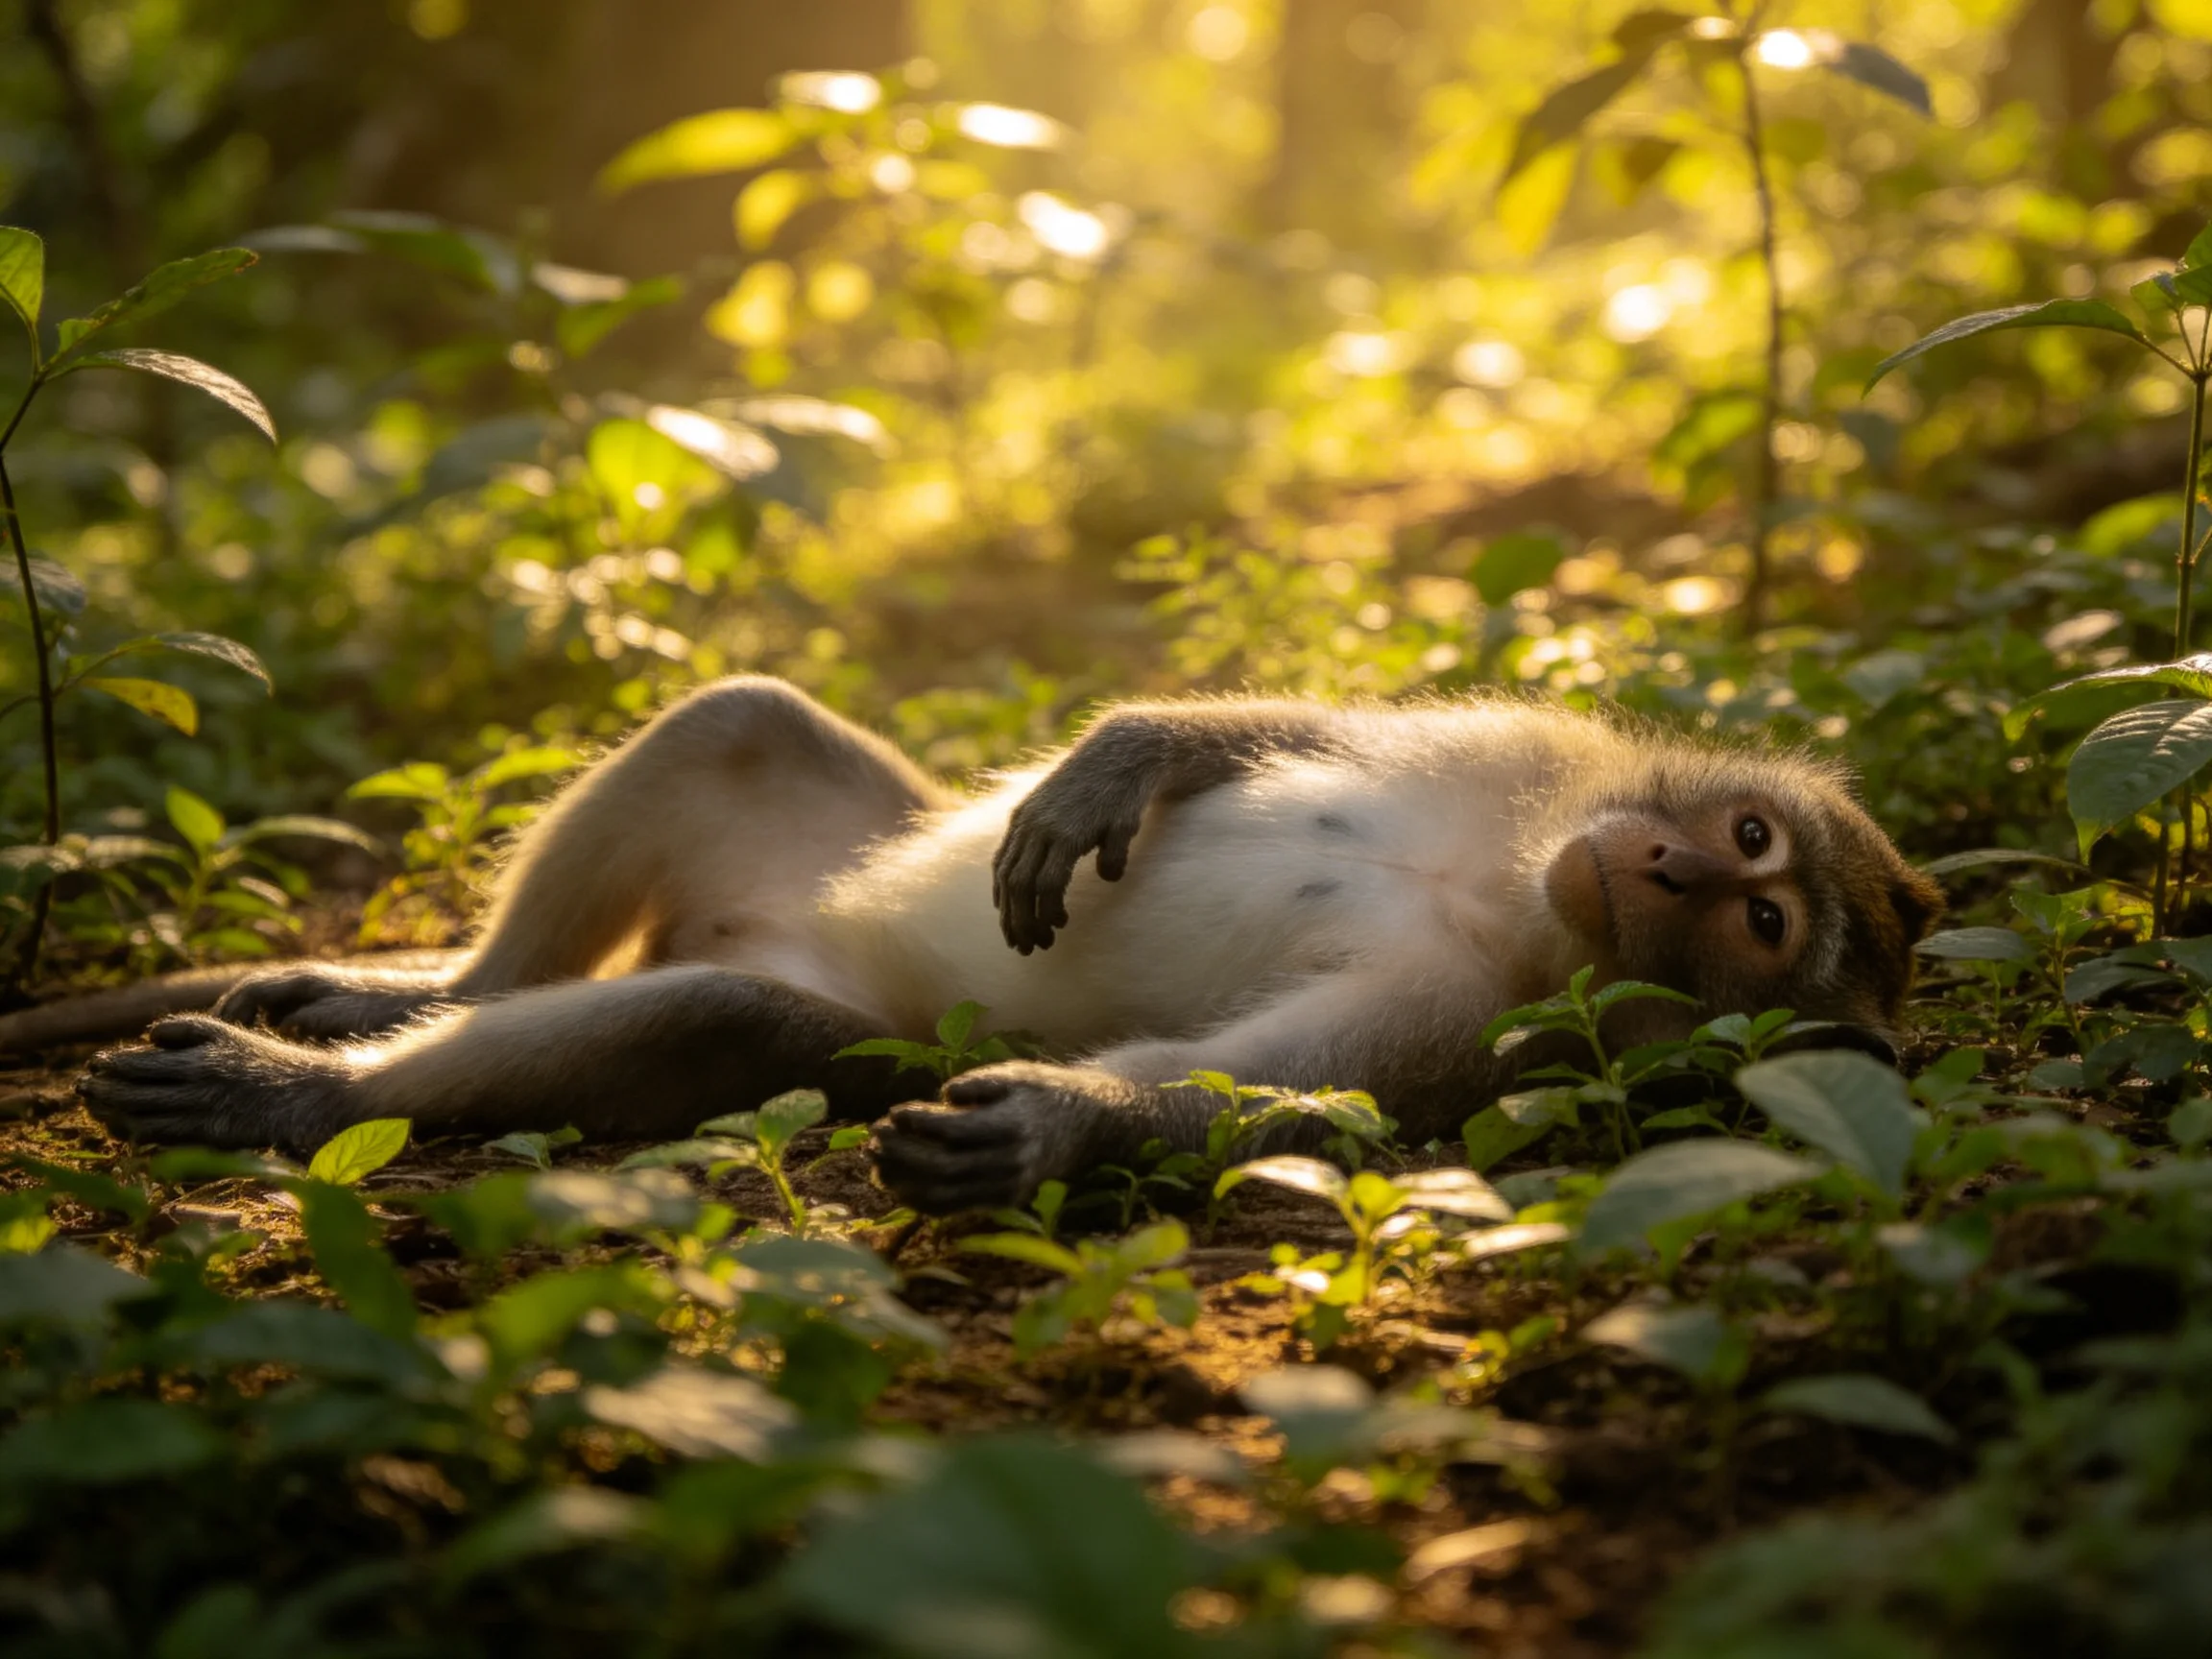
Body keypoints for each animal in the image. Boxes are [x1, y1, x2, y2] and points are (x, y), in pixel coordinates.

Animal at [76, 675, 1944, 1213]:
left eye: (1757, 919)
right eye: (1752, 844)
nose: (1663, 860)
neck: (1511, 891)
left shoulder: (1480, 1027)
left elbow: (1281, 1100)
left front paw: (1059, 1121)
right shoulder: (1524, 766)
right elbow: (1284, 736)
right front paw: (1136, 749)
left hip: (839, 1012)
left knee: (720, 1019)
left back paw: (298, 1098)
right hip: (813, 847)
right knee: (737, 723)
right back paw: (405, 994)